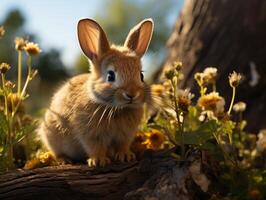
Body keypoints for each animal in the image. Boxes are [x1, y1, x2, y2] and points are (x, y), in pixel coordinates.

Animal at [38, 17, 154, 167]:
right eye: (110, 76)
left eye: (141, 75)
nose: (132, 94)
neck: (115, 108)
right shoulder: (91, 135)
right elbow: (95, 147)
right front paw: (98, 161)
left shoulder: (125, 136)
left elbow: (122, 145)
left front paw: (125, 156)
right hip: (51, 135)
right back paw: (63, 160)